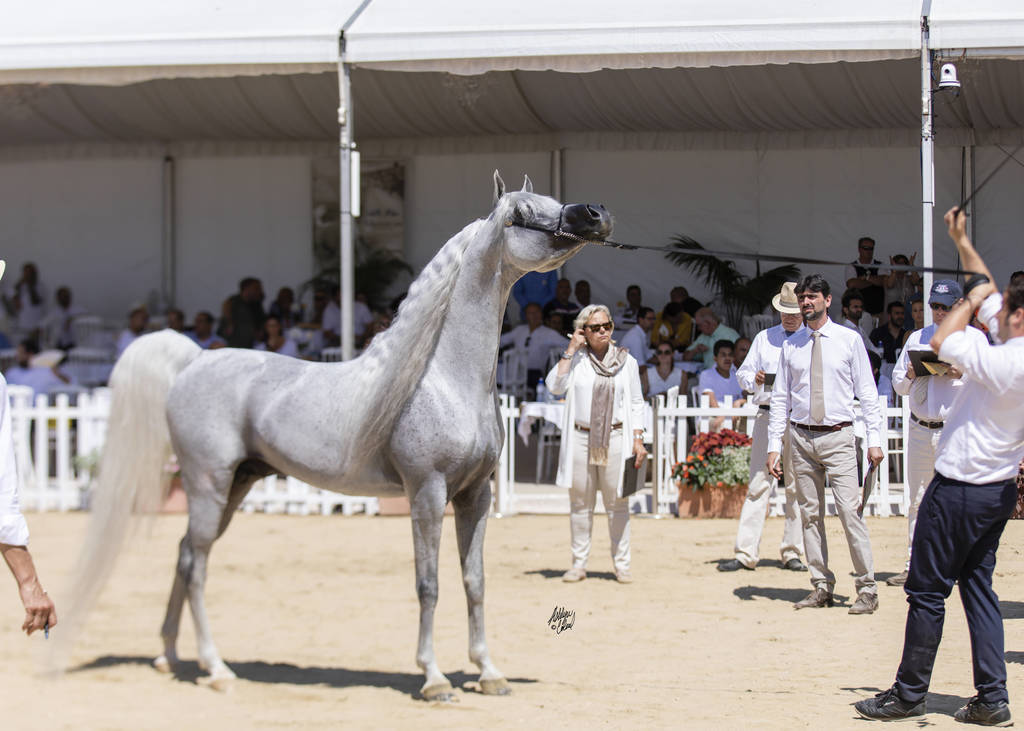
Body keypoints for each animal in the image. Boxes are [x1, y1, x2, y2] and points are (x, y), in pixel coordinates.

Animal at [56, 172, 612, 701]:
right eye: (523, 212)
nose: (596, 213)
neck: (442, 379)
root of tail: (193, 360)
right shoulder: (427, 494)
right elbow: (429, 584)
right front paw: (433, 679)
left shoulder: (476, 495)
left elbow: (474, 581)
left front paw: (489, 673)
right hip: (207, 484)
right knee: (195, 566)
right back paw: (215, 668)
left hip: (235, 485)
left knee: (186, 554)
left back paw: (169, 657)